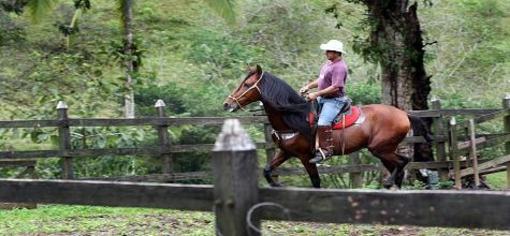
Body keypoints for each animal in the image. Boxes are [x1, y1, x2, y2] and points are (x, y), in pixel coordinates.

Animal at [223, 65, 430, 189]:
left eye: (247, 84)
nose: (227, 104)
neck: (293, 116)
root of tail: (404, 114)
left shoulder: (306, 157)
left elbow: (315, 182)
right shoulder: (285, 152)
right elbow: (267, 170)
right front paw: (276, 185)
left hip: (381, 148)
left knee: (402, 162)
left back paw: (388, 182)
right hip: (383, 150)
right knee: (400, 166)